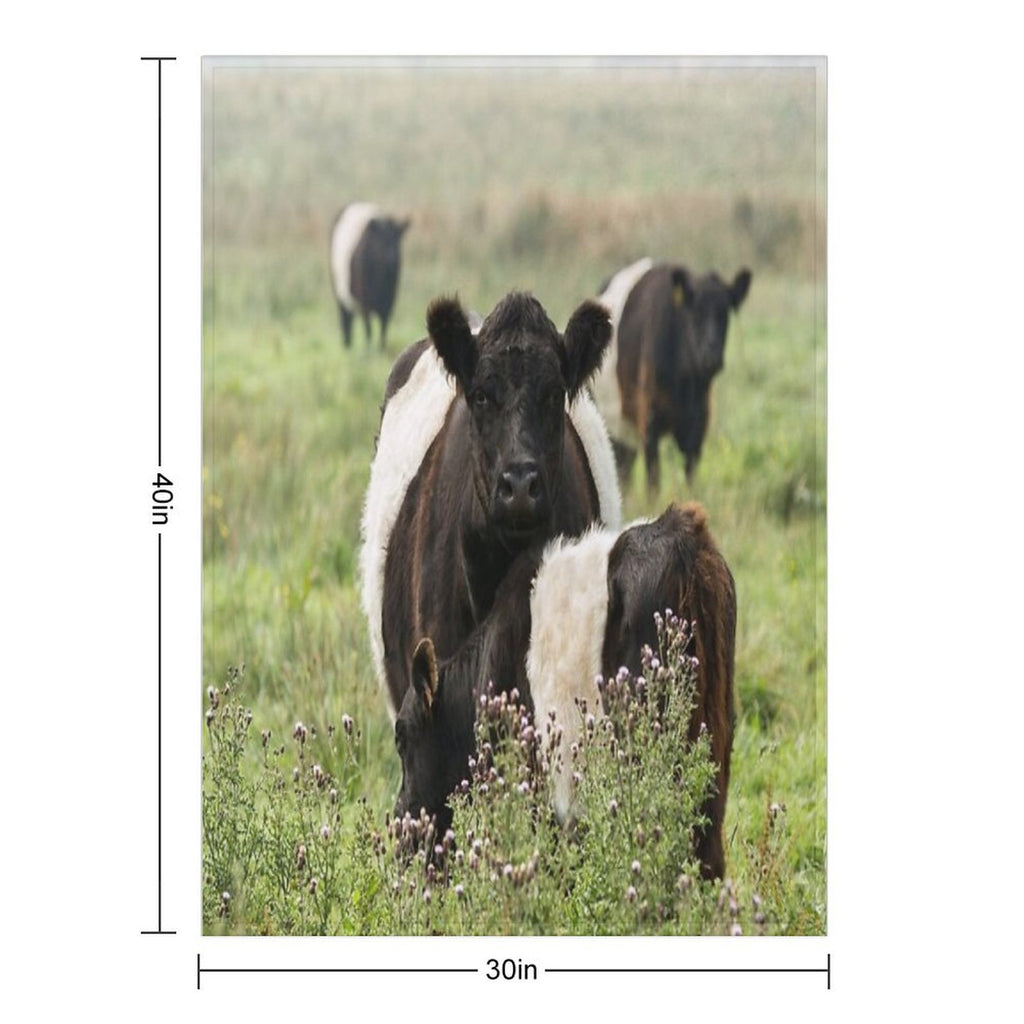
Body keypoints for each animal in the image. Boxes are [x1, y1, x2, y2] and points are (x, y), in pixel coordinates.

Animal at [329, 201, 410, 349]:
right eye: (381, 242)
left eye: (398, 241)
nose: (393, 260)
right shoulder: (365, 302)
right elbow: (368, 329)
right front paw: (368, 350)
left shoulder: (389, 301)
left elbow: (384, 328)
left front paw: (381, 349)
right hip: (340, 294)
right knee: (346, 319)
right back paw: (347, 346)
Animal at [595, 261, 752, 489]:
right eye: (695, 313)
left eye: (724, 314)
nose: (711, 356)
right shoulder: (649, 420)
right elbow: (653, 480)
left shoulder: (698, 424)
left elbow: (690, 475)